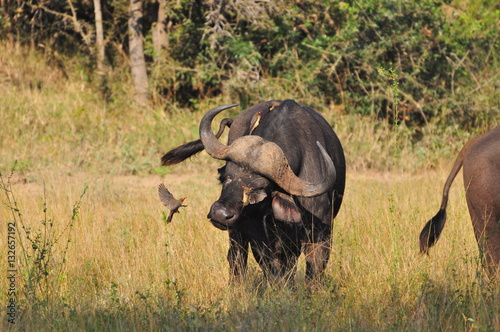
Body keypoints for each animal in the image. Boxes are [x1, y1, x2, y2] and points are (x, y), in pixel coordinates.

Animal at [162, 100, 346, 284]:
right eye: (227, 177)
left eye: (259, 189)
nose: (220, 214)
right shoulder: (258, 235)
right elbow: (272, 267)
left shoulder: (321, 232)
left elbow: (314, 268)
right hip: (236, 231)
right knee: (236, 257)